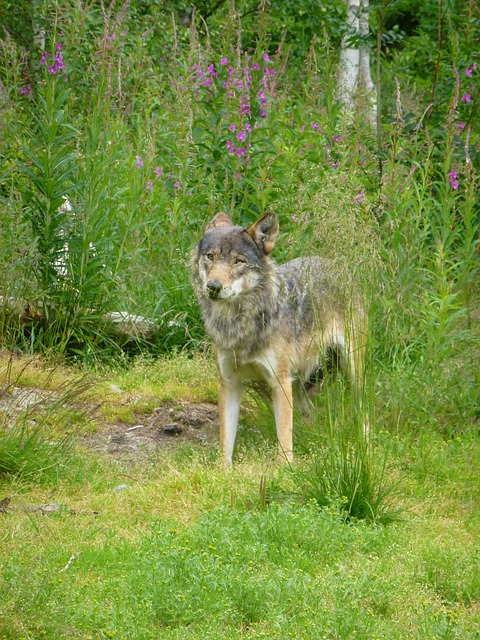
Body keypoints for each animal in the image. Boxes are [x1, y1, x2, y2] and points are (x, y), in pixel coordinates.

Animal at [192, 211, 367, 465]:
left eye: (238, 261)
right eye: (210, 257)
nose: (213, 286)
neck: (240, 324)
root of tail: (333, 264)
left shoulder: (279, 382)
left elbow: (284, 437)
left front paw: (286, 469)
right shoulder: (229, 383)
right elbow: (226, 442)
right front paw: (223, 470)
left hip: (351, 371)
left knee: (363, 410)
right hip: (298, 382)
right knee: (309, 410)